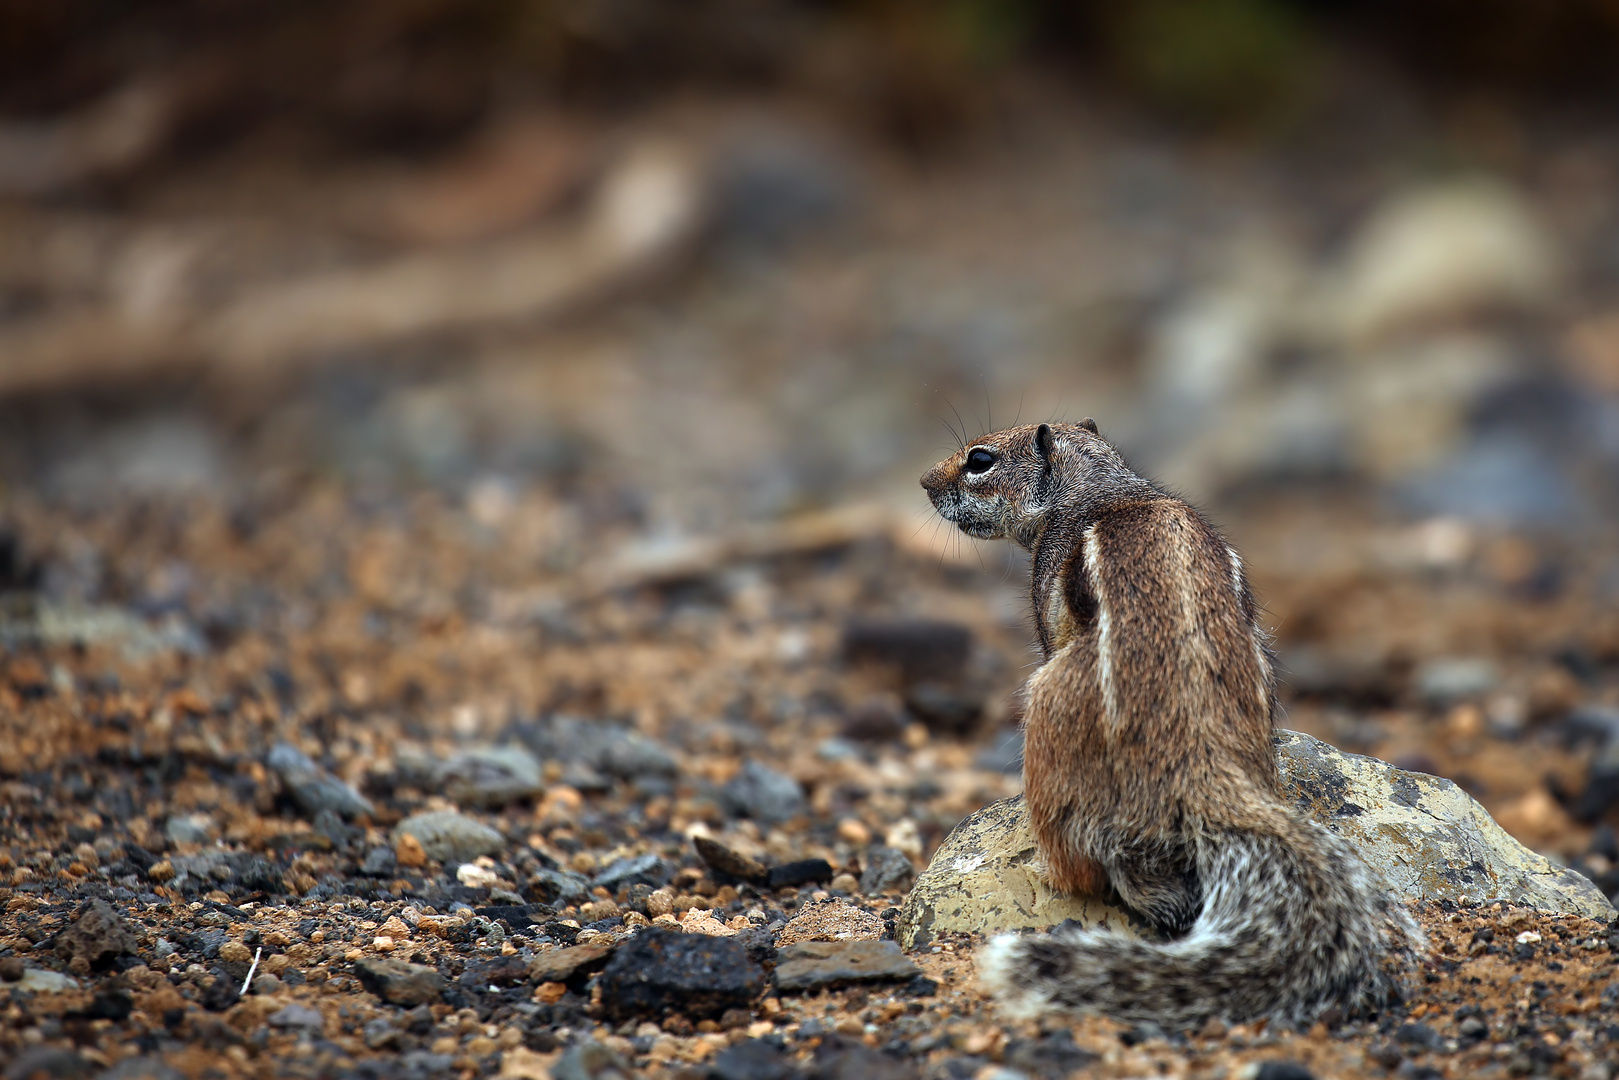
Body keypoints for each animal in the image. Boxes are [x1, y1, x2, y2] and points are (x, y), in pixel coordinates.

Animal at [926, 420, 1418, 1029]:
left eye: (980, 459)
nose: (924, 483)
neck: (1098, 483)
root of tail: (1199, 768)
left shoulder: (1048, 599)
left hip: (1048, 713)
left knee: (1093, 862)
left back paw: (1045, 870)